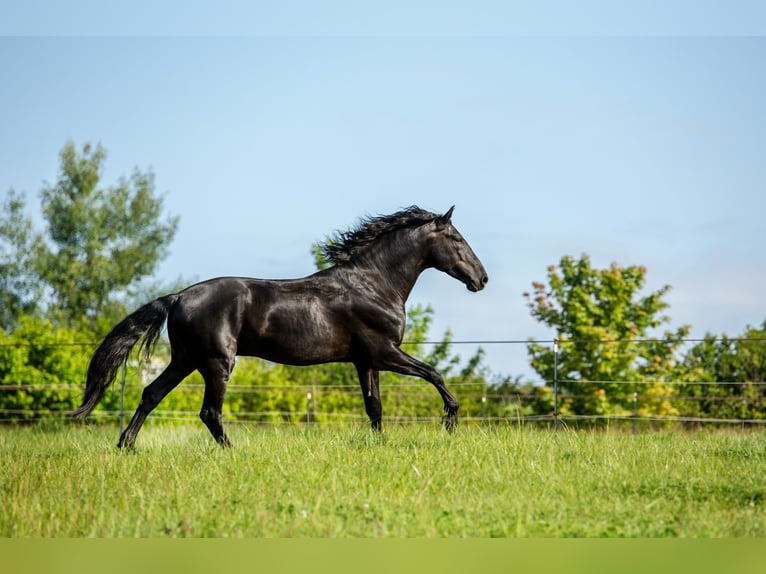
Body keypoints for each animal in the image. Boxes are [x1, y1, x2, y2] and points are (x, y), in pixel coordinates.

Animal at [72, 206, 488, 448]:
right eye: (456, 238)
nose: (481, 279)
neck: (372, 283)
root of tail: (178, 297)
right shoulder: (385, 352)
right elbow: (434, 374)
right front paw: (451, 422)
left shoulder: (365, 360)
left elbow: (375, 408)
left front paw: (378, 447)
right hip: (216, 363)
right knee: (209, 412)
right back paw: (232, 452)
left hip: (186, 360)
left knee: (151, 394)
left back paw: (126, 446)